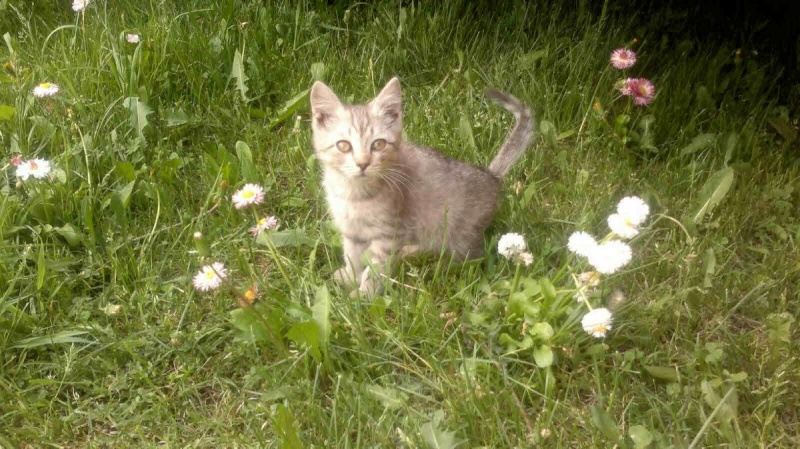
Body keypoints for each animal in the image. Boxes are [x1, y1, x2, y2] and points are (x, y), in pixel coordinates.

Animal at [310, 77, 536, 294]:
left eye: (378, 144)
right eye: (343, 145)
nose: (363, 163)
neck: (353, 193)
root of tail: (491, 176)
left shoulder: (390, 235)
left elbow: (376, 269)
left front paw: (365, 295)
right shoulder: (352, 232)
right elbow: (352, 257)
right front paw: (350, 278)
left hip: (459, 234)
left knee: (473, 258)